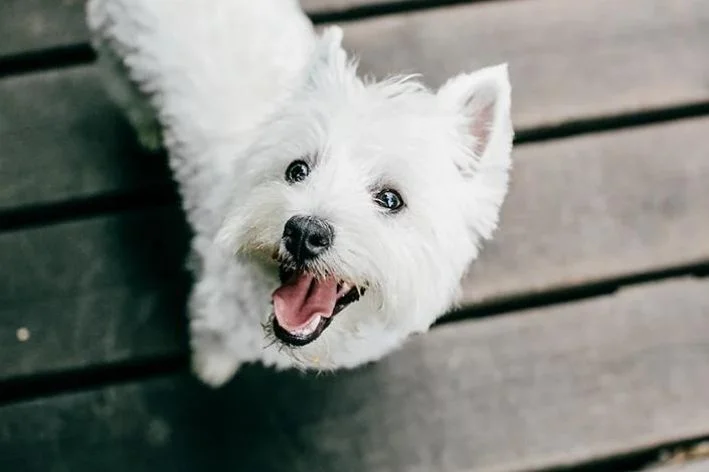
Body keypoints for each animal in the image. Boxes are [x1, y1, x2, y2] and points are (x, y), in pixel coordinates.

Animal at [87, 0, 508, 388]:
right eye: (297, 170)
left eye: (391, 199)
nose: (304, 232)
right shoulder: (216, 302)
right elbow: (214, 340)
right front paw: (211, 370)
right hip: (113, 47)